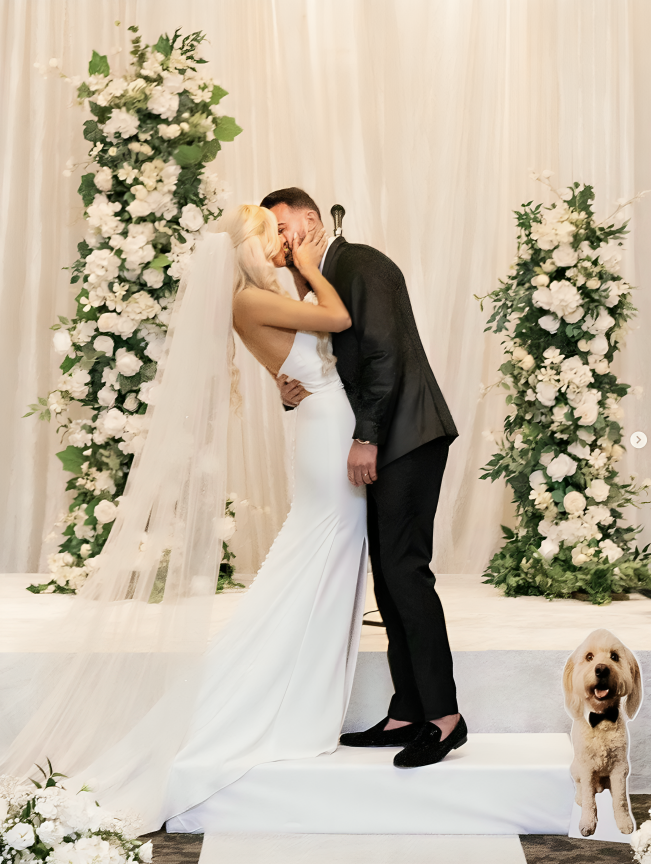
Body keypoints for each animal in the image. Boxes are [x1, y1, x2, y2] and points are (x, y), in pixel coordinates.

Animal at [564, 628, 644, 836]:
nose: (601, 669)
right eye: (589, 657)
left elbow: (621, 800)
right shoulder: (585, 767)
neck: (601, 719)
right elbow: (589, 800)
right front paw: (587, 823)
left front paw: (624, 822)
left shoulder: (619, 768)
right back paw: (579, 798)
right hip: (575, 768)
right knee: (581, 788)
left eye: (614, 657)